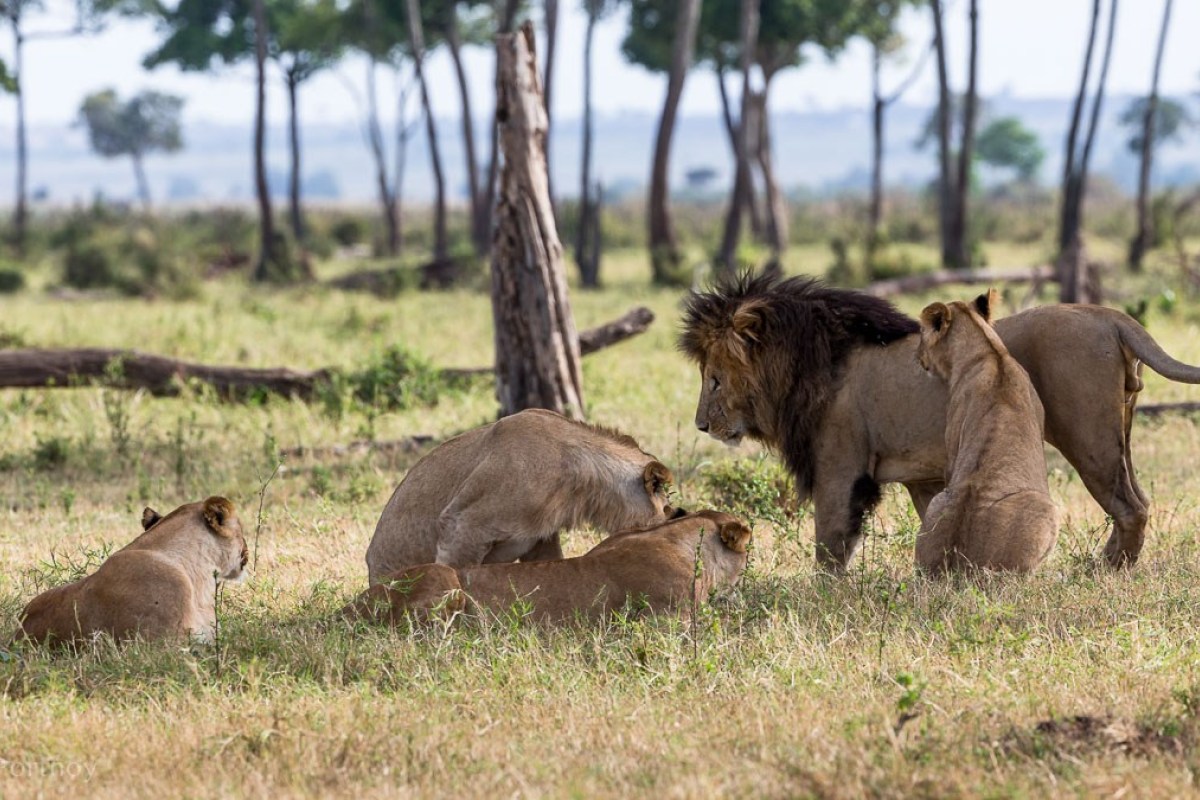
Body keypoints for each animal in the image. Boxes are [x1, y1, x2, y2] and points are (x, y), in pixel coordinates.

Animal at [681, 273, 1200, 568]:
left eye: (715, 381)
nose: (701, 426)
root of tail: (1107, 314)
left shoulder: (840, 469)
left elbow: (829, 547)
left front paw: (826, 600)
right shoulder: (923, 476)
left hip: (1089, 439)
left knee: (1129, 507)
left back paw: (1105, 571)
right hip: (1119, 433)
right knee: (1140, 501)